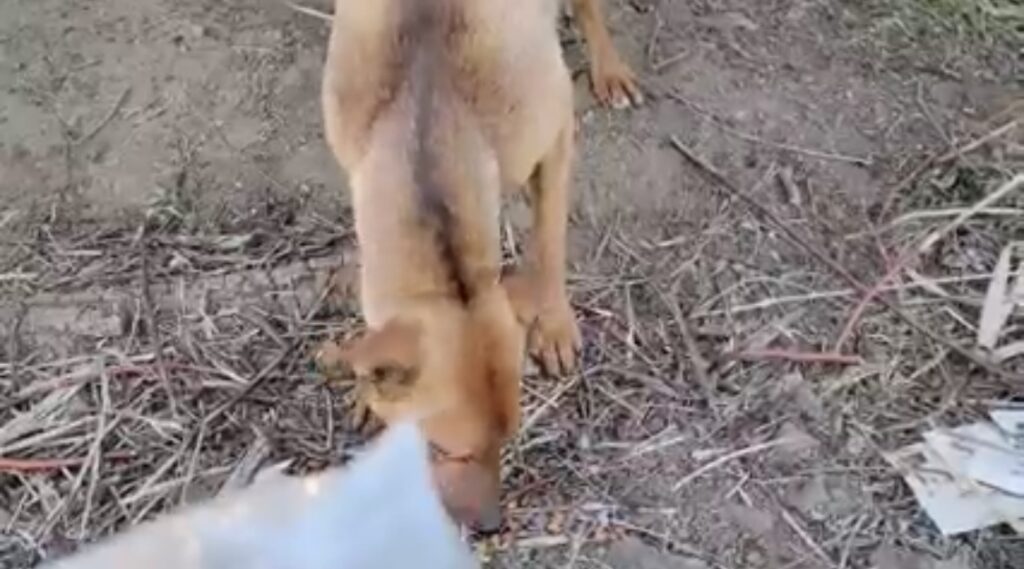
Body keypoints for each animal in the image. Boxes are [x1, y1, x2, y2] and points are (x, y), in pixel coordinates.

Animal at [319, 0, 638, 532]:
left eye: (507, 440)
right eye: (444, 449)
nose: (491, 525)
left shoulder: (555, 130)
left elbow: (548, 243)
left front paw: (553, 323)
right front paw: (366, 386)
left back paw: (609, 67)